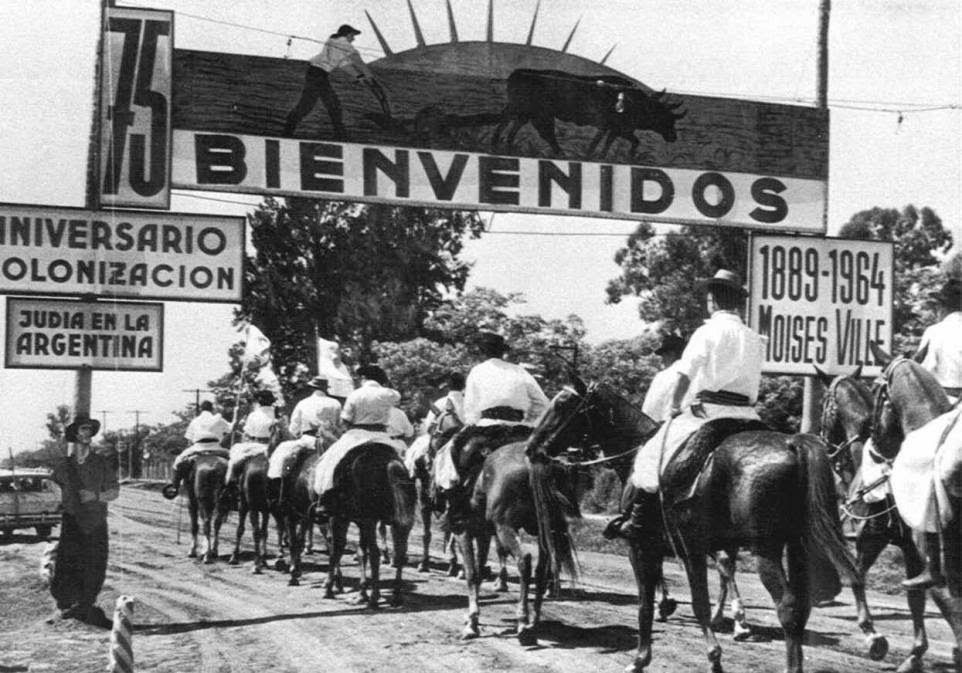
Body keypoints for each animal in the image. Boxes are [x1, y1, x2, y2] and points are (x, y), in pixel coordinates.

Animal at [318, 440, 416, 608]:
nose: (319, 511)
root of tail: (390, 463)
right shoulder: (362, 523)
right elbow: (360, 552)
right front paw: (361, 594)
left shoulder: (341, 518)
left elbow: (337, 549)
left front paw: (329, 588)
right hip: (403, 521)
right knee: (400, 552)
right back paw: (396, 596)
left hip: (368, 520)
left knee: (375, 553)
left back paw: (374, 599)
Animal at [524, 380, 872, 672]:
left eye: (562, 405)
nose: (530, 447)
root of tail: (792, 443)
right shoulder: (695, 549)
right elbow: (698, 597)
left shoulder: (647, 547)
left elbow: (654, 604)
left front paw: (645, 659)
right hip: (797, 548)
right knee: (804, 605)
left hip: (766, 551)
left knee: (787, 607)